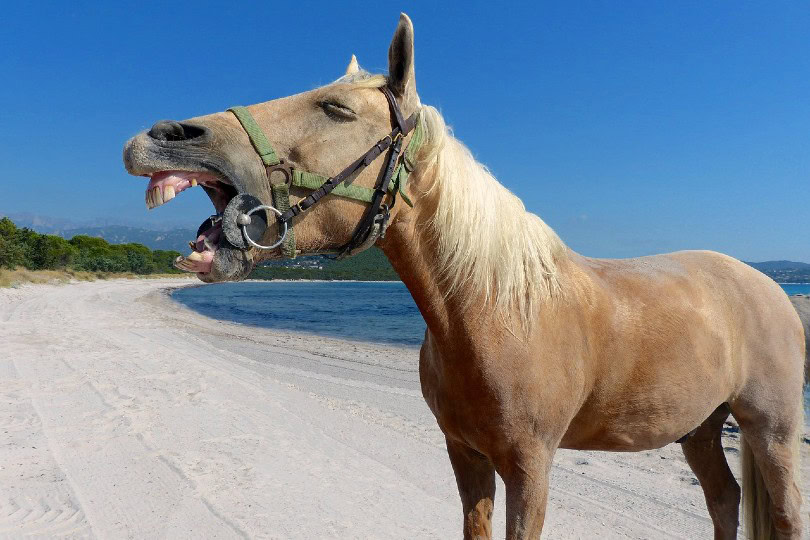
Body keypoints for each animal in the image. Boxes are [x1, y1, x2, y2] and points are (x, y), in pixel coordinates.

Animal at [123, 14, 805, 539]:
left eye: (335, 108)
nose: (161, 137)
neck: (495, 310)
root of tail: (771, 288)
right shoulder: (465, 454)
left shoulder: (531, 467)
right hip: (700, 428)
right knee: (724, 500)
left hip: (770, 430)